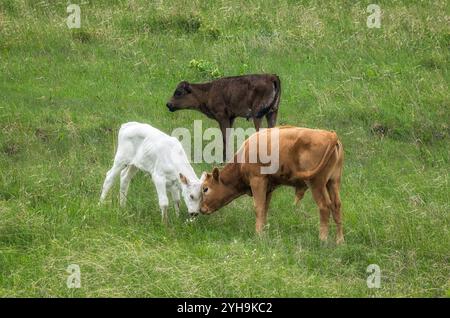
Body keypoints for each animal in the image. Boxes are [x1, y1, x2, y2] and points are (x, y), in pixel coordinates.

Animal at [200, 126, 344, 243]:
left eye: (205, 189)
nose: (202, 209)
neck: (243, 157)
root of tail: (330, 135)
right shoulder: (268, 188)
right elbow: (264, 208)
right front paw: (263, 232)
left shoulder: (257, 181)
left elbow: (258, 208)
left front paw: (258, 235)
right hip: (333, 181)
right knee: (336, 205)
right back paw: (339, 241)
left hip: (316, 184)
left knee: (324, 207)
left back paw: (323, 239)